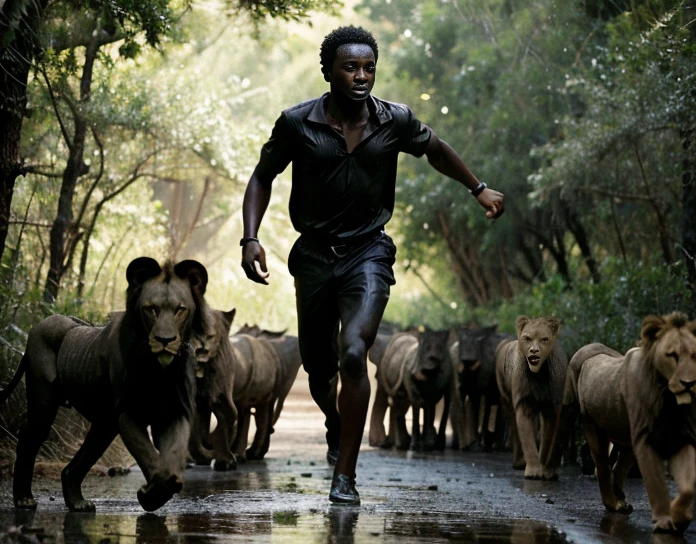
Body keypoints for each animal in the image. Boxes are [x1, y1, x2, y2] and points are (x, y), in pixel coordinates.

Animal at [0, 258, 207, 512]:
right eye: (150, 309)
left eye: (180, 309)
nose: (165, 340)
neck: (158, 370)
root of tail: (40, 323)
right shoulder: (128, 413)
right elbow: (146, 453)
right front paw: (149, 496)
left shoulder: (175, 412)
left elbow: (172, 456)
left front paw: (160, 490)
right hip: (45, 403)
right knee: (29, 435)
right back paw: (24, 499)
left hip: (103, 424)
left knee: (74, 465)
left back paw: (78, 503)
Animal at [494, 314, 564, 480]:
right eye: (527, 338)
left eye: (544, 339)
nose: (534, 351)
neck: (538, 375)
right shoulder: (523, 403)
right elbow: (526, 437)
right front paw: (533, 471)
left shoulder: (552, 406)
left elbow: (548, 438)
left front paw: (545, 470)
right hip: (507, 402)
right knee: (515, 428)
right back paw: (519, 463)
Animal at [564, 312, 696, 532]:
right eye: (671, 356)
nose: (688, 382)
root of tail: (586, 348)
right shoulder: (644, 439)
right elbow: (655, 481)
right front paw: (665, 521)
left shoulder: (679, 438)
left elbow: (688, 484)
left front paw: (679, 520)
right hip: (588, 419)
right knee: (601, 461)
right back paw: (614, 503)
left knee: (618, 465)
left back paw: (620, 500)